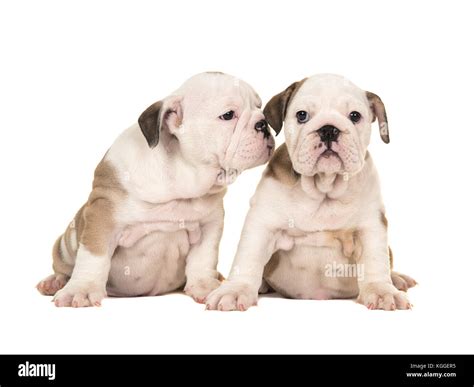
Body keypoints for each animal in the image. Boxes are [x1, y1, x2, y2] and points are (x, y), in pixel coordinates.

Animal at [37, 72, 276, 310]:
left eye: (260, 107)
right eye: (228, 115)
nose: (263, 123)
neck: (180, 177)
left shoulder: (210, 224)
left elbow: (203, 257)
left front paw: (204, 285)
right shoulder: (102, 217)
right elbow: (94, 257)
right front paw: (81, 289)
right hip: (67, 242)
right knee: (64, 265)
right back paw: (55, 281)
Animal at [206, 74, 414, 314]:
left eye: (355, 116)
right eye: (302, 115)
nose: (329, 129)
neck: (324, 187)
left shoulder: (370, 227)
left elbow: (375, 261)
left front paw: (382, 291)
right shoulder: (262, 225)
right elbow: (248, 258)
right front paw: (235, 290)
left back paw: (397, 279)